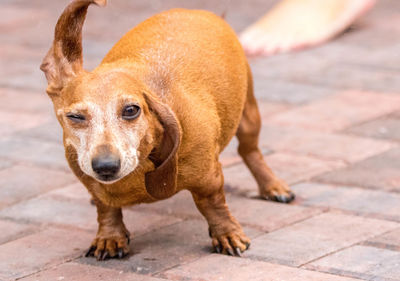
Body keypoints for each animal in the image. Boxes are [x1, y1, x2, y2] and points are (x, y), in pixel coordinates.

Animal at [40, 0, 296, 260]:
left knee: (250, 151)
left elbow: (213, 204)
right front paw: (109, 237)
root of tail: (199, 13)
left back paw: (272, 186)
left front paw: (228, 234)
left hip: (248, 115)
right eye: (74, 116)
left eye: (131, 110)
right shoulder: (87, 176)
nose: (105, 166)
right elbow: (105, 206)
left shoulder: (208, 178)